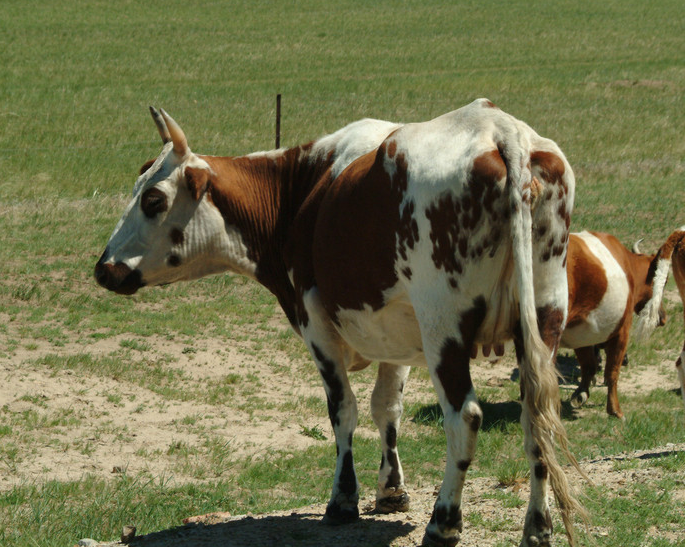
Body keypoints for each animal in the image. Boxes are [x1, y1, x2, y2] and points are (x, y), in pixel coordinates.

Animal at [96, 100, 584, 544]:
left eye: (153, 200)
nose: (104, 268)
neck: (300, 191)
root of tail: (498, 129)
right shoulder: (394, 332)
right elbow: (386, 407)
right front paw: (391, 490)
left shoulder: (316, 324)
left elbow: (343, 411)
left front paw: (343, 499)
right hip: (544, 318)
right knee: (536, 416)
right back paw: (537, 526)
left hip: (443, 328)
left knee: (464, 417)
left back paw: (444, 522)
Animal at [560, 231, 672, 420]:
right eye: (662, 283)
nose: (662, 318)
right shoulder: (621, 332)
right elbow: (612, 371)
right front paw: (615, 410)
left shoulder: (581, 332)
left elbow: (588, 365)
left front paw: (581, 394)